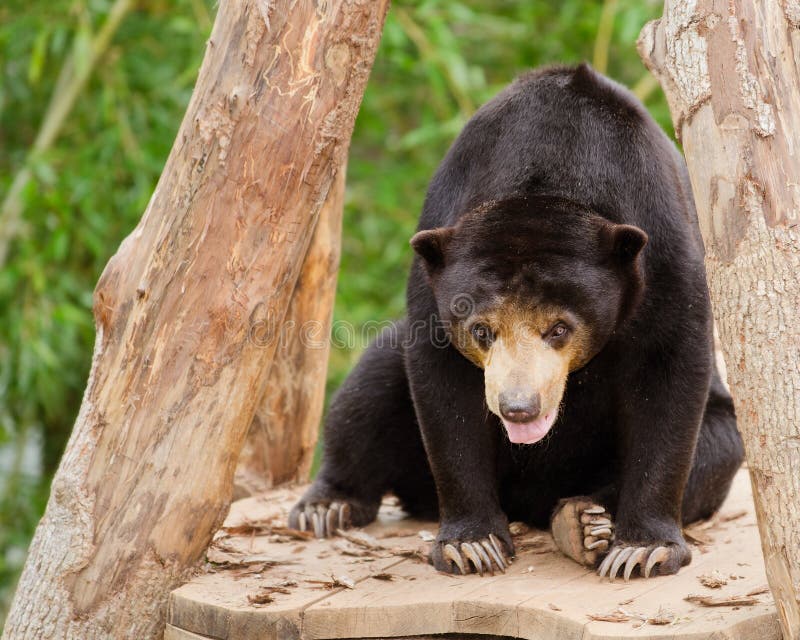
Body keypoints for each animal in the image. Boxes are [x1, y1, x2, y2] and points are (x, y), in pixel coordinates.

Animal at [288, 63, 744, 580]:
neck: (549, 177)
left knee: (716, 452)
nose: (518, 409)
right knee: (370, 387)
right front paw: (472, 545)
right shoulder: (437, 256)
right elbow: (443, 388)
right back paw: (327, 506)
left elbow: (669, 377)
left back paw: (584, 522)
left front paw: (642, 550)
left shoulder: (664, 250)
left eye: (559, 328)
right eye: (482, 330)